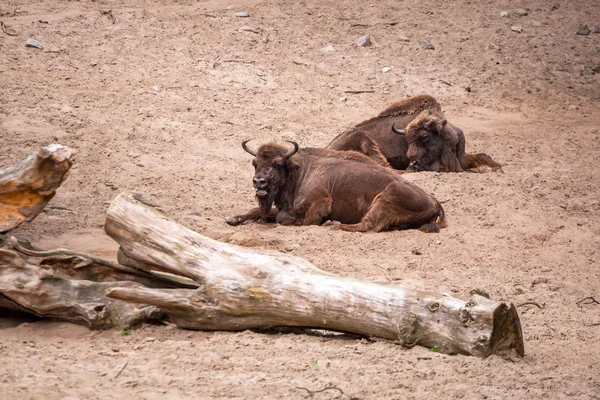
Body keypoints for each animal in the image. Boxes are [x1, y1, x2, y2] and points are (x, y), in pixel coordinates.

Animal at [225, 141, 446, 233]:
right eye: (255, 163)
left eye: (278, 164)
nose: (259, 182)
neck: (298, 172)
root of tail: (434, 201)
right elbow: (258, 211)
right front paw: (233, 219)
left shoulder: (321, 202)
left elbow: (301, 221)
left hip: (388, 196)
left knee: (367, 226)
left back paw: (335, 224)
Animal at [326, 96, 504, 174]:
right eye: (407, 140)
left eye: (424, 137)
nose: (414, 163)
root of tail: (329, 146)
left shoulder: (461, 158)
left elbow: (482, 156)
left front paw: (497, 167)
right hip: (362, 138)